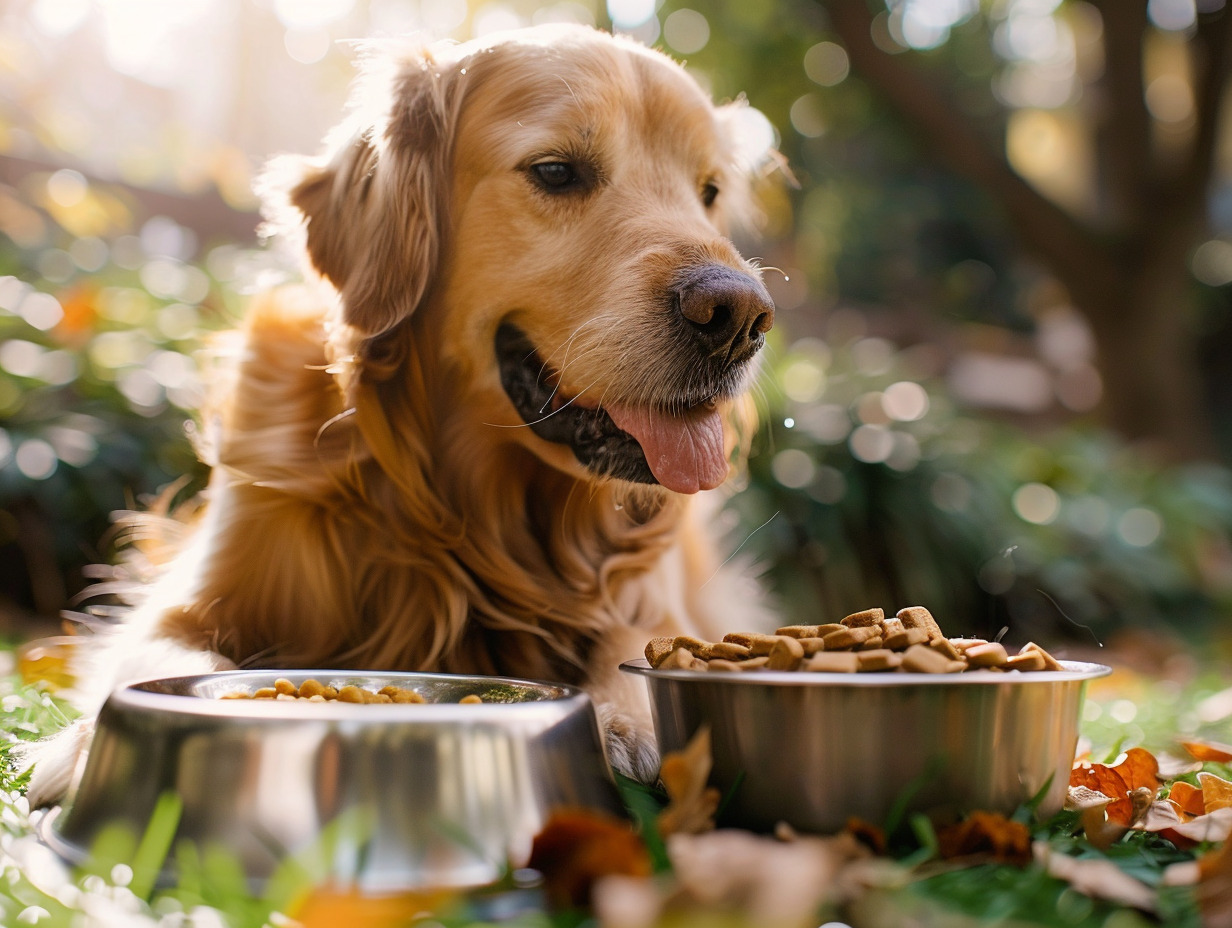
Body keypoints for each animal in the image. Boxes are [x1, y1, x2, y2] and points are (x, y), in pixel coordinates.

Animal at [21, 21, 768, 803]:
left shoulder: (654, 602)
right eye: (557, 171)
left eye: (708, 191)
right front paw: (88, 746)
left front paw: (627, 722)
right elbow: (157, 657)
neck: (454, 499)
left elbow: (639, 647)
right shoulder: (189, 600)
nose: (742, 317)